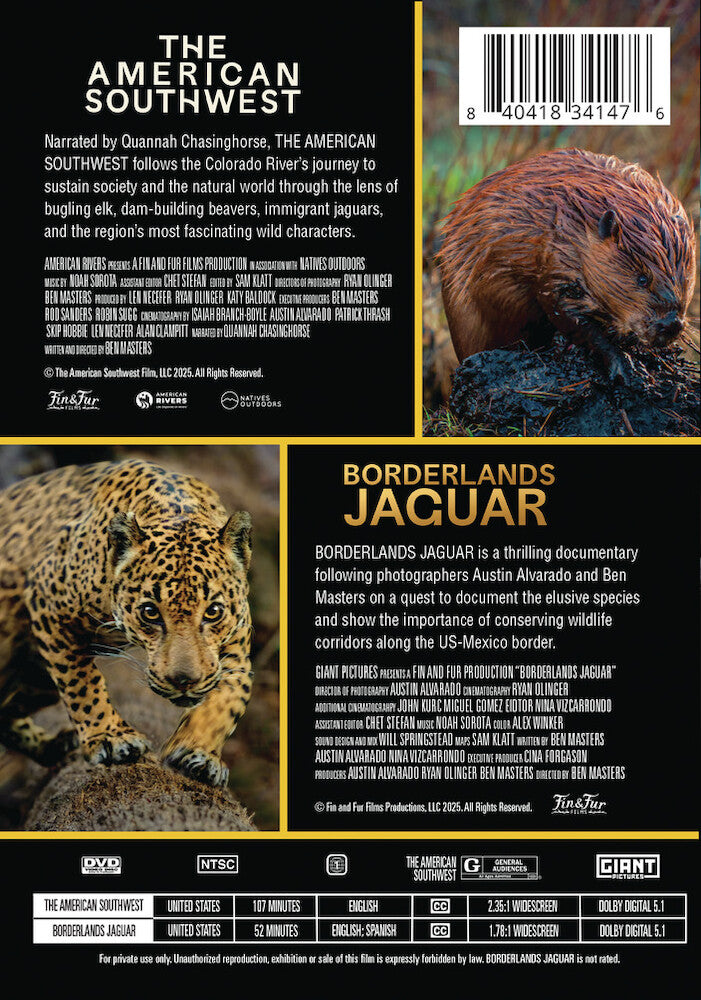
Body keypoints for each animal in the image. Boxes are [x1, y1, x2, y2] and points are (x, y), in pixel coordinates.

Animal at [0, 458, 255, 787]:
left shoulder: (236, 644)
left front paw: (198, 752)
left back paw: (55, 746)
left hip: (36, 678)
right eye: (150, 612)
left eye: (213, 612)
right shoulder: (46, 594)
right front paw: (111, 738)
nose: (184, 681)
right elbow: (80, 680)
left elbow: (231, 694)